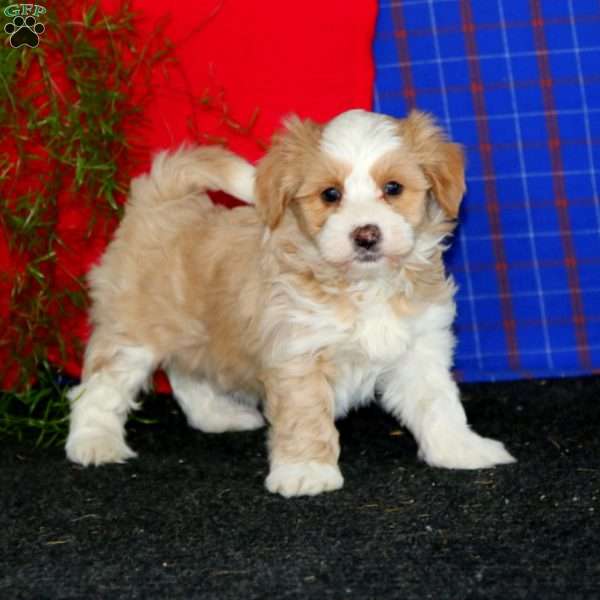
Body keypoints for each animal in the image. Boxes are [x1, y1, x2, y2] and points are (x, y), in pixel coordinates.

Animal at [67, 109, 516, 496]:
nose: (366, 234)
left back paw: (218, 416)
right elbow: (305, 416)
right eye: (330, 194)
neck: (361, 286)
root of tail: (161, 199)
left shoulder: (418, 347)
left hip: (196, 330)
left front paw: (460, 449)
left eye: (393, 189)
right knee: (101, 387)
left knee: (186, 372)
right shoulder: (297, 355)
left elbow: (438, 403)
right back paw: (94, 442)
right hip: (132, 329)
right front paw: (307, 473)